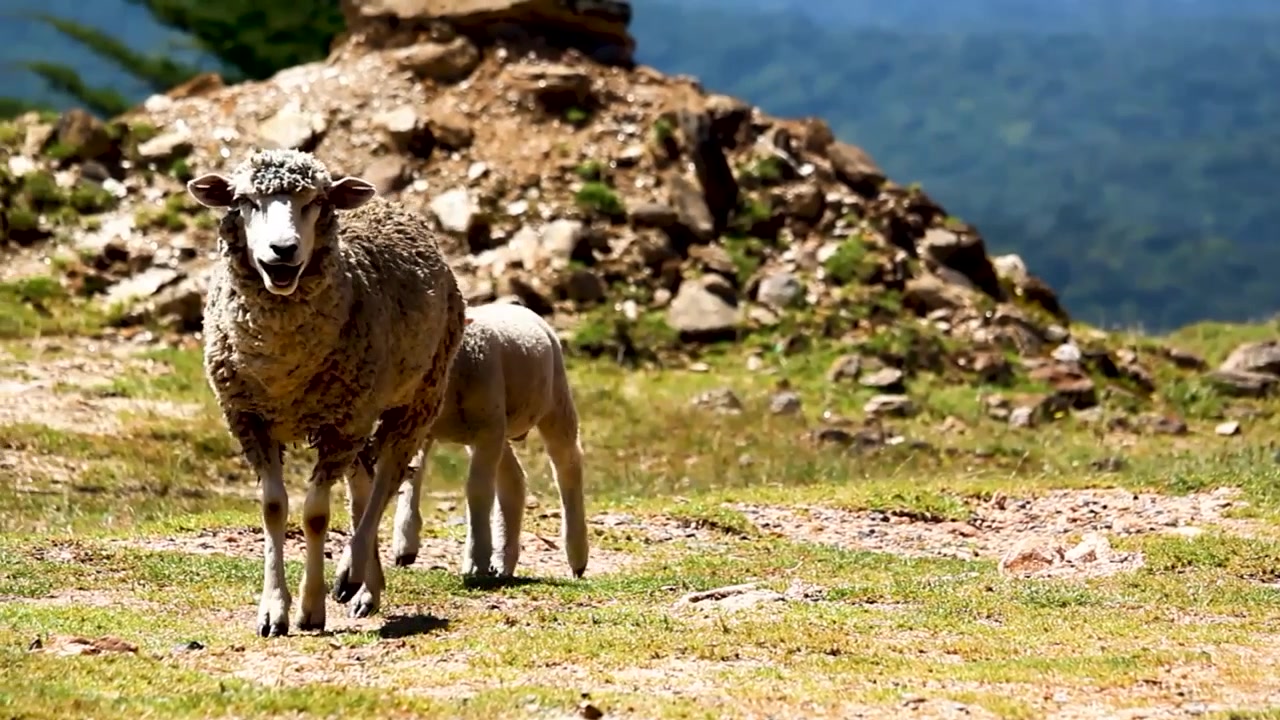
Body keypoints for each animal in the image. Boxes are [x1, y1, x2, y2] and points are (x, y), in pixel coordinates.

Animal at [186, 148, 466, 637]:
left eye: (315, 202)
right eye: (244, 201)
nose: (282, 251)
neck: (283, 366)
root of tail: (388, 205)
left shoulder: (342, 423)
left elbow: (315, 515)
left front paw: (311, 607)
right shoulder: (250, 421)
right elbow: (273, 508)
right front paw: (272, 610)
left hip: (415, 397)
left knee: (386, 480)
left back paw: (353, 572)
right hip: (359, 413)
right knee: (363, 486)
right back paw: (367, 585)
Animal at [384, 301, 588, 579]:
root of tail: (514, 305)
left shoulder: (487, 429)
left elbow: (478, 490)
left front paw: (475, 559)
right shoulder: (419, 427)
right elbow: (410, 480)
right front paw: (405, 545)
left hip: (552, 402)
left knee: (567, 467)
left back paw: (576, 556)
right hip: (496, 425)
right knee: (513, 479)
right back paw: (503, 561)